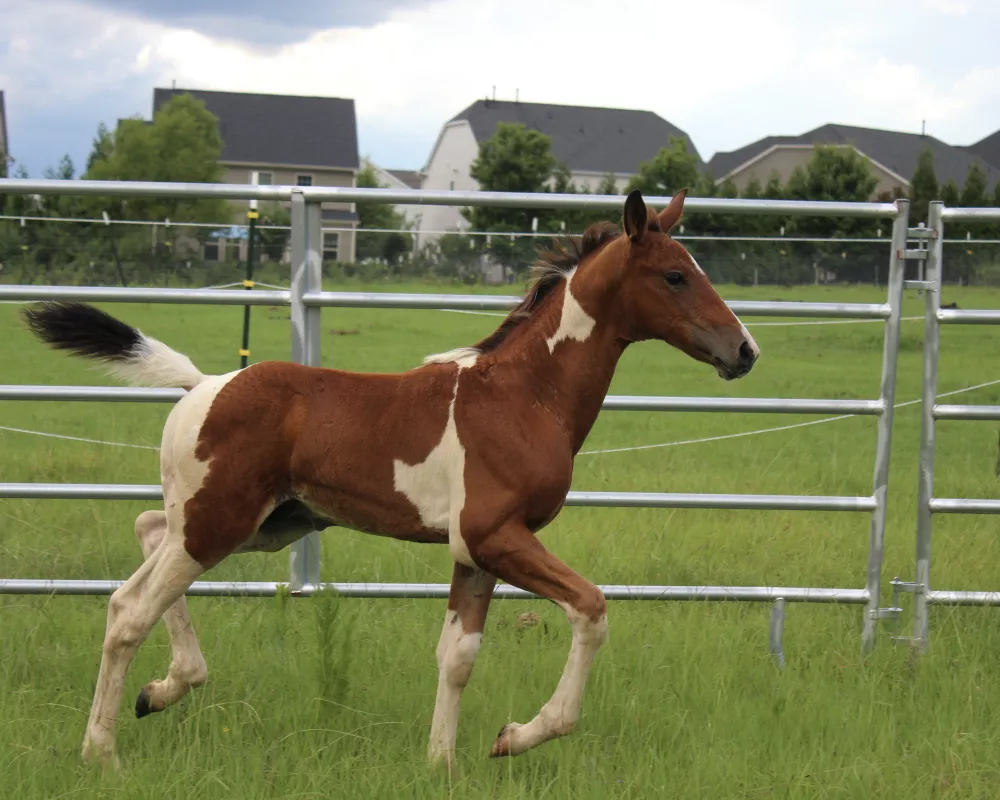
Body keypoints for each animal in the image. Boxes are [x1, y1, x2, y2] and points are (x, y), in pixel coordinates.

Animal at [21, 188, 756, 768]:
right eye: (674, 276)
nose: (743, 350)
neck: (523, 397)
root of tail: (203, 384)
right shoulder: (497, 536)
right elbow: (591, 608)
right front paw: (519, 734)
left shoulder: (476, 552)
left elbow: (458, 656)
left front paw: (444, 763)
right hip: (217, 525)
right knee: (129, 610)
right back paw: (102, 751)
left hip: (260, 523)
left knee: (145, 539)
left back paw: (161, 690)